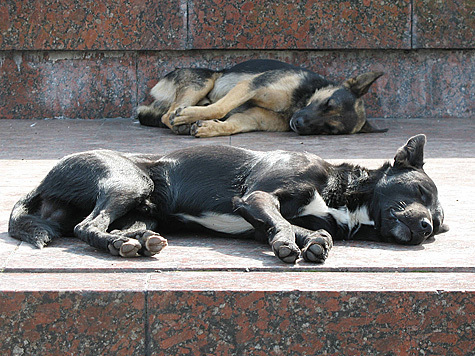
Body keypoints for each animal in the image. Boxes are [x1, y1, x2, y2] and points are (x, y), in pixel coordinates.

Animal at [8, 135, 446, 262]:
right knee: (88, 226)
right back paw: (121, 245)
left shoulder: (260, 220)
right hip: (127, 181)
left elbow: (303, 229)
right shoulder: (258, 196)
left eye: (438, 223)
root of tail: (44, 181)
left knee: (114, 228)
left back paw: (132, 243)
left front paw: (315, 243)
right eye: (420, 191)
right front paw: (288, 245)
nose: (426, 227)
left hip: (146, 211)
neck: (339, 193)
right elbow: (284, 223)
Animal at [137, 59, 386, 137]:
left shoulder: (252, 118)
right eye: (327, 103)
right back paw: (182, 117)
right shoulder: (250, 87)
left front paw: (211, 128)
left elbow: (231, 124)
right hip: (204, 81)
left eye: (330, 129)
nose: (298, 123)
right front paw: (196, 117)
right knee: (168, 115)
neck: (297, 103)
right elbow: (220, 108)